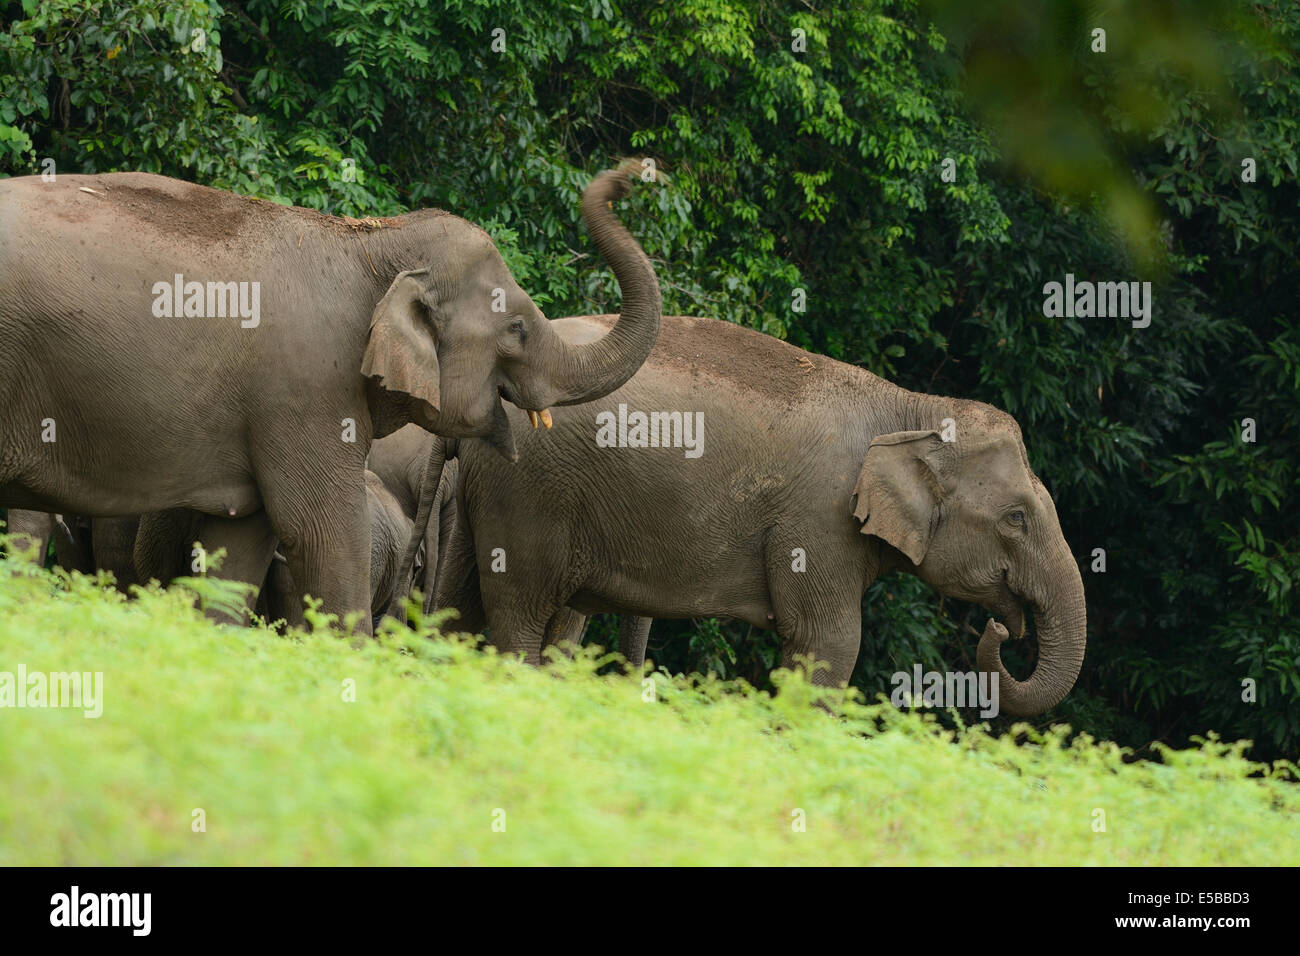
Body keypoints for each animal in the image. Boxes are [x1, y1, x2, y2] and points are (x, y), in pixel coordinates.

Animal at [0, 162, 661, 631]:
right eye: (518, 328)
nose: (634, 173)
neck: (371, 244)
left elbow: (239, 546)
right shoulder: (307, 392)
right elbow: (322, 531)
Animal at [414, 313, 1086, 717]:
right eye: (1017, 519)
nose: (1001, 630)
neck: (911, 405)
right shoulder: (820, 522)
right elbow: (828, 646)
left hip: (489, 494)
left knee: (459, 602)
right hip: (531, 492)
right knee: (519, 613)